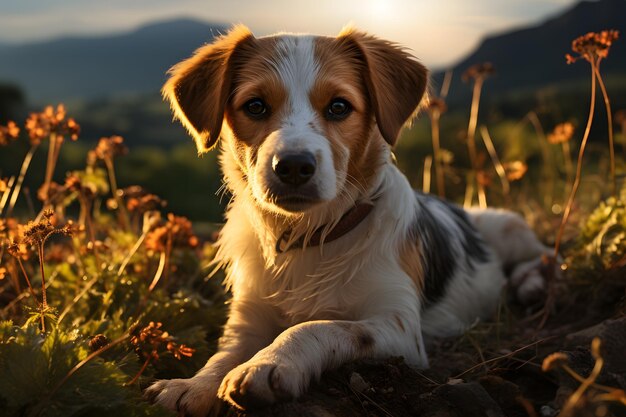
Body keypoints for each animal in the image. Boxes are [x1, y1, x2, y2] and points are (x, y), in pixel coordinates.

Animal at [145, 25, 544, 412]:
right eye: (255, 106)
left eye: (339, 106)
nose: (293, 166)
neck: (308, 237)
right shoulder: (247, 319)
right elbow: (223, 354)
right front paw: (192, 385)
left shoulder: (400, 328)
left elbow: (321, 326)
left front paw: (269, 363)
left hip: (509, 226)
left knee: (543, 256)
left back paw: (530, 282)